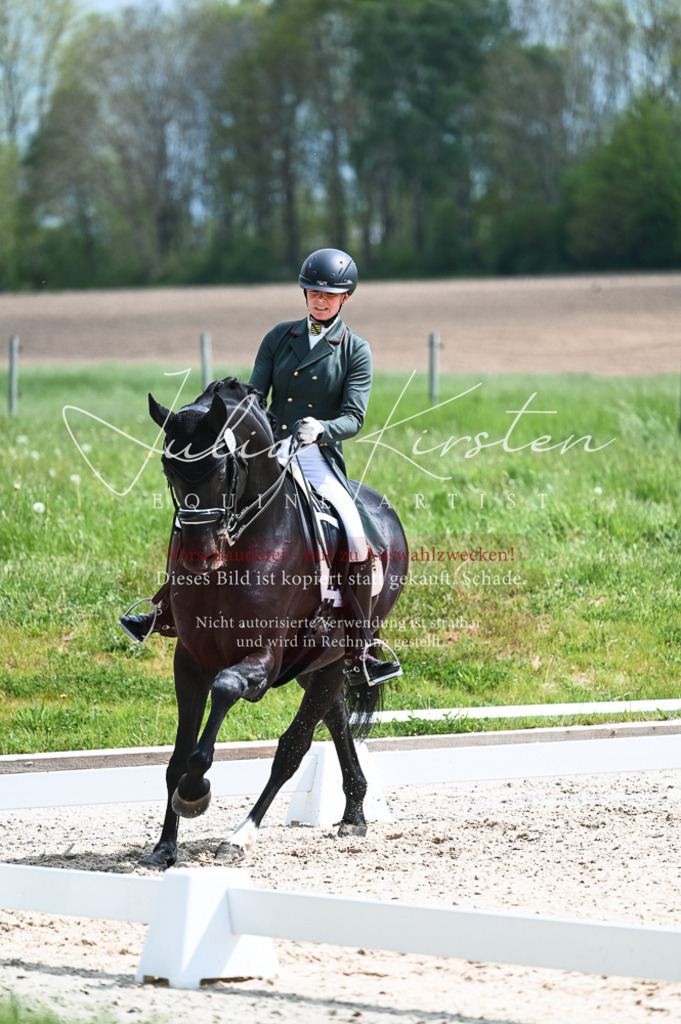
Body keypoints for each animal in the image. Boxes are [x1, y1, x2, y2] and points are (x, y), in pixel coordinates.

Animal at [139, 376, 408, 869]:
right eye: (169, 468)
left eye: (220, 470)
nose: (198, 556)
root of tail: (381, 507)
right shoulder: (190, 659)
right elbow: (178, 755)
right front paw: (164, 848)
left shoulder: (262, 659)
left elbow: (227, 692)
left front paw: (195, 793)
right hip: (317, 665)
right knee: (335, 717)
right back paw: (354, 813)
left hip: (336, 655)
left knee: (294, 746)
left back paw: (241, 836)